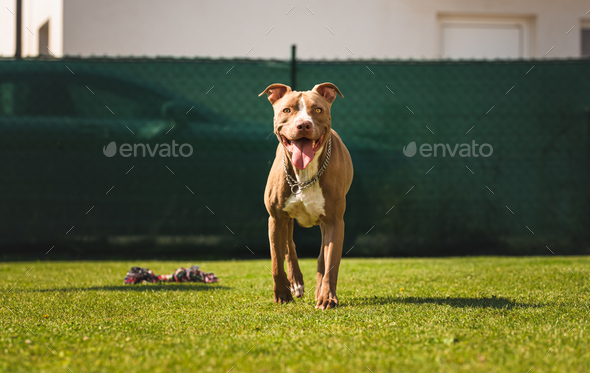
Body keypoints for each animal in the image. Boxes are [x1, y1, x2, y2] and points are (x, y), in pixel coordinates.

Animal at [260, 83, 354, 310]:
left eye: (318, 110)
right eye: (287, 110)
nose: (303, 125)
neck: (305, 175)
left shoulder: (334, 221)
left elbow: (330, 263)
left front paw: (327, 298)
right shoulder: (275, 218)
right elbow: (276, 260)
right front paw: (282, 295)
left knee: (322, 256)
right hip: (284, 220)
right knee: (288, 246)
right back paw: (296, 283)